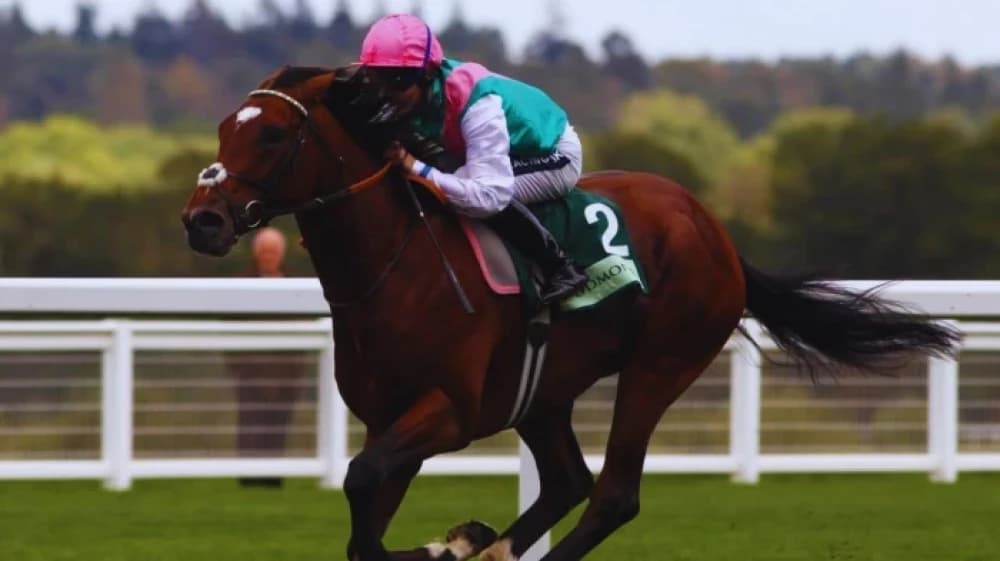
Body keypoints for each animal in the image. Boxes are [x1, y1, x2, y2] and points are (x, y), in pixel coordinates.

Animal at [181, 66, 960, 561]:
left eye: (273, 136)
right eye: (221, 127)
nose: (203, 220)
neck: (395, 266)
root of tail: (714, 230)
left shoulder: (450, 411)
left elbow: (362, 488)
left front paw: (451, 543)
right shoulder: (390, 418)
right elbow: (362, 520)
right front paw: (458, 540)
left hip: (660, 362)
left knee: (612, 495)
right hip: (543, 390)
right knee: (567, 481)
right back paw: (496, 546)